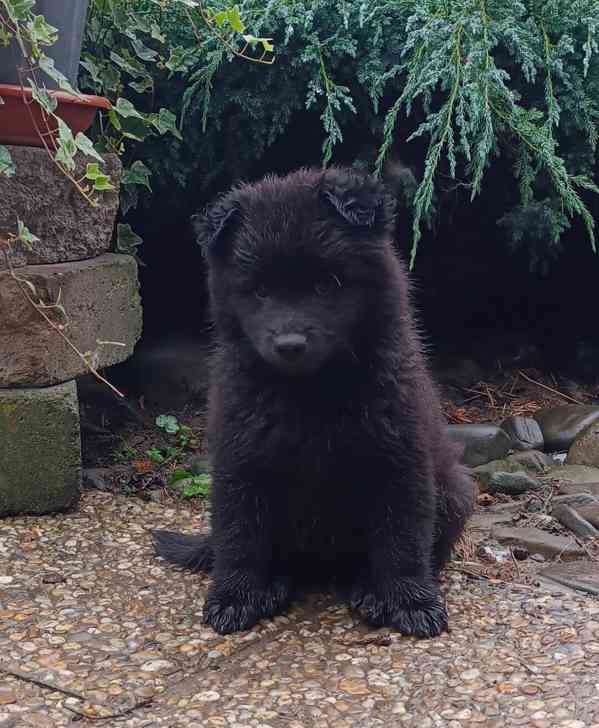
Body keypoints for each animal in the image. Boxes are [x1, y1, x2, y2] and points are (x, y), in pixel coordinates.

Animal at [152, 168, 476, 636]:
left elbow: (402, 540)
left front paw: (411, 601)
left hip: (455, 490)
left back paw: (370, 591)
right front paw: (234, 596)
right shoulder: (240, 461)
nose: (290, 345)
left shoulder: (400, 459)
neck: (312, 390)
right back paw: (275, 585)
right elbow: (239, 537)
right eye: (260, 291)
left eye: (327, 284)